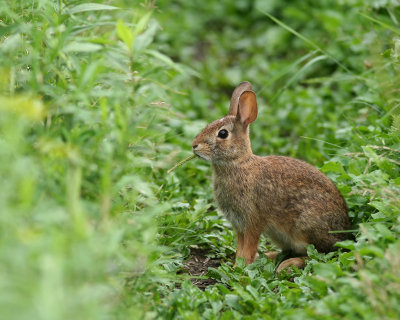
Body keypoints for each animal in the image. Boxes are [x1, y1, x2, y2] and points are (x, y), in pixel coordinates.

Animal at [192, 81, 352, 272]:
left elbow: (248, 247)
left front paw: (241, 267)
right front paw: (237, 265)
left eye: (222, 134)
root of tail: (345, 232)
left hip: (304, 228)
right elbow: (240, 247)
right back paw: (268, 257)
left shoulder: (253, 221)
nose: (194, 145)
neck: (238, 163)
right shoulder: (239, 225)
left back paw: (287, 264)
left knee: (319, 255)